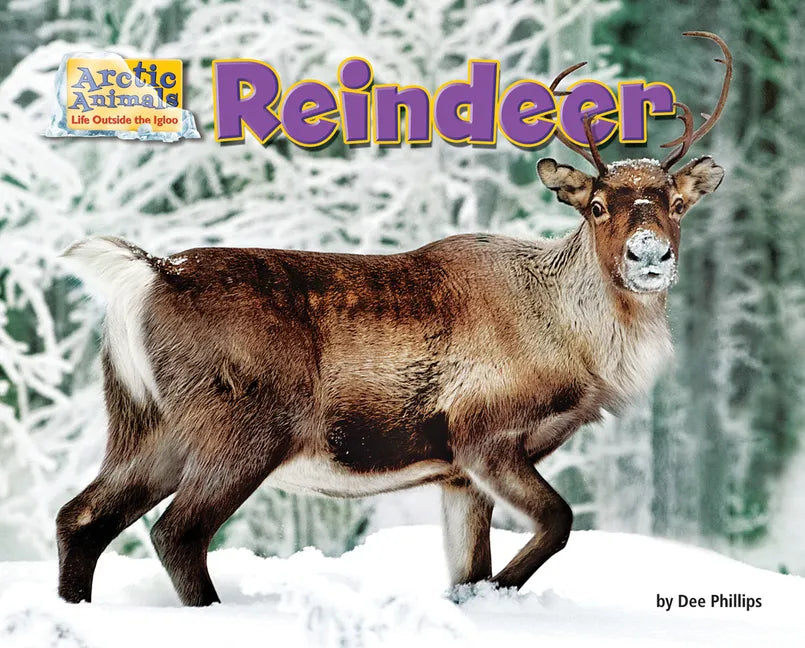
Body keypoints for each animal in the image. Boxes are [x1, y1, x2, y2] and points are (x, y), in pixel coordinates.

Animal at [56, 32, 731, 607]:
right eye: (595, 207)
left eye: (677, 204)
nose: (649, 254)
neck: (576, 347)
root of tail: (149, 275)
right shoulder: (482, 434)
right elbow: (557, 523)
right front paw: (498, 595)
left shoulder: (457, 475)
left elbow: (468, 569)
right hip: (242, 426)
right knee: (176, 533)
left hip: (147, 425)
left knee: (80, 518)